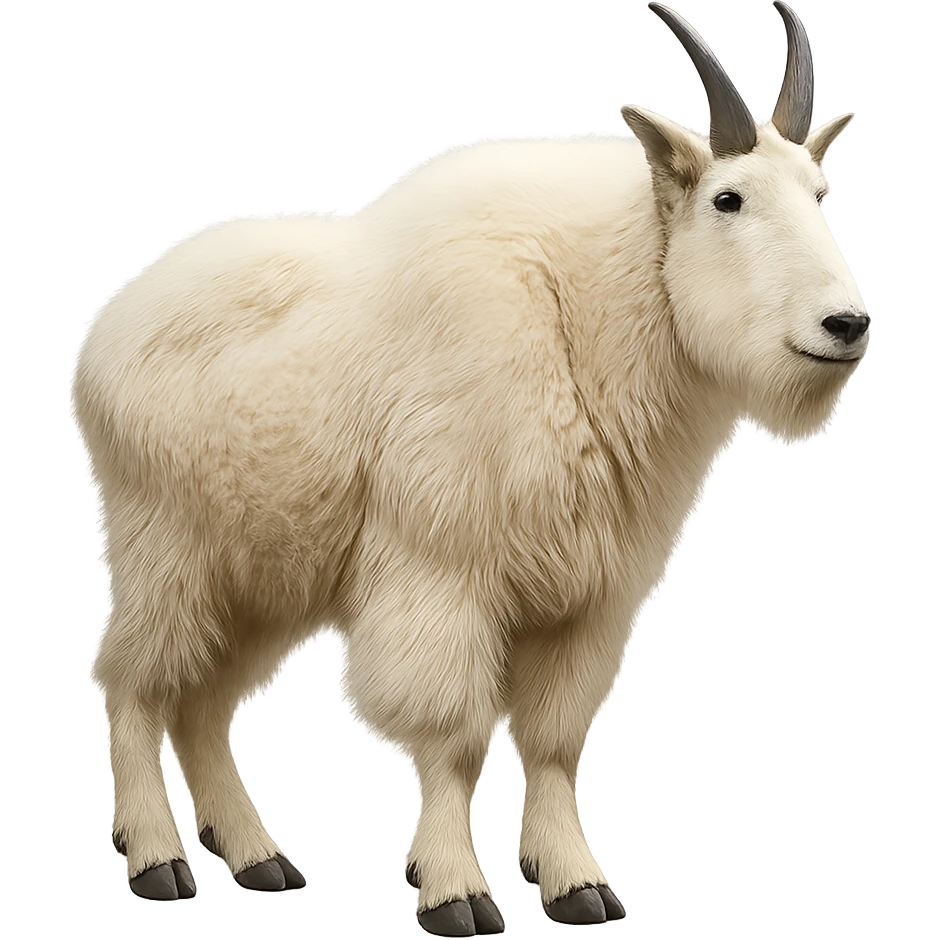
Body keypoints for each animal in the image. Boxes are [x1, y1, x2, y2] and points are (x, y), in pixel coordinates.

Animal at [69, 2, 867, 933]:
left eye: (821, 194)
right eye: (728, 198)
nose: (845, 324)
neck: (583, 320)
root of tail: (102, 328)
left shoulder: (587, 597)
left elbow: (554, 740)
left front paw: (576, 886)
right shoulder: (446, 572)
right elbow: (451, 736)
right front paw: (452, 892)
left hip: (259, 573)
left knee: (201, 703)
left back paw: (260, 858)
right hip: (166, 550)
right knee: (131, 682)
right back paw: (156, 861)